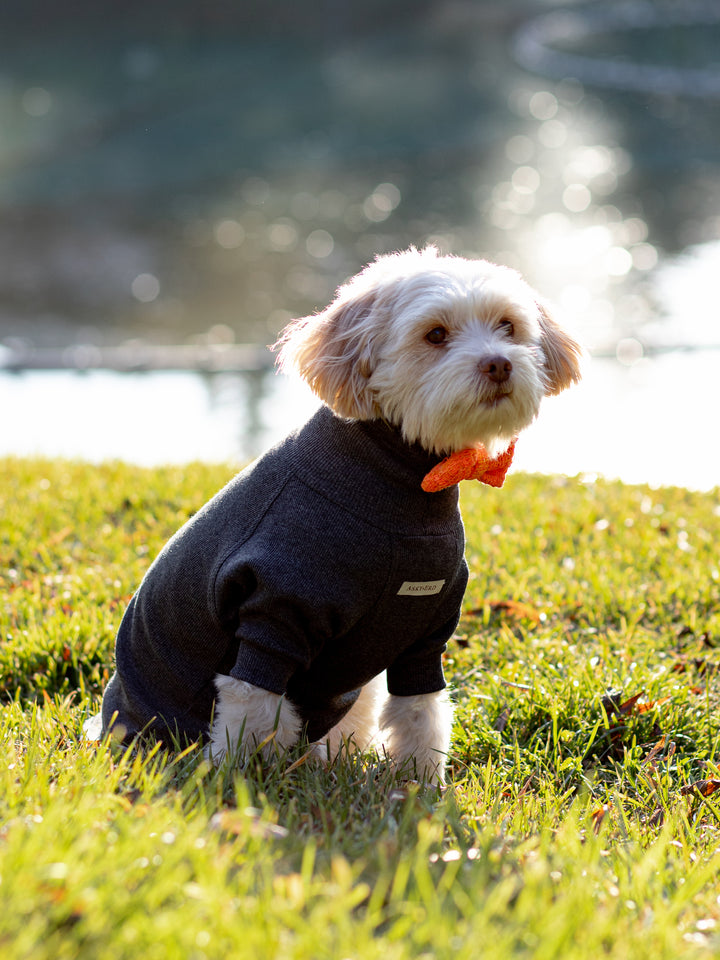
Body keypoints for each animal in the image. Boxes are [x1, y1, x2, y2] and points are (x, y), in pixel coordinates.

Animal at [94, 246, 580, 780]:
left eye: (508, 326)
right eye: (435, 334)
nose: (499, 364)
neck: (407, 479)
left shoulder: (426, 635)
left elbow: (422, 715)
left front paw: (420, 786)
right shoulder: (273, 616)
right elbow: (253, 715)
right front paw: (245, 786)